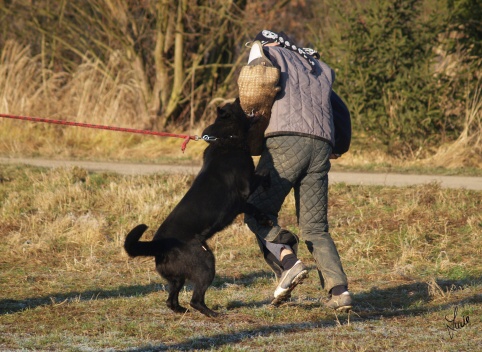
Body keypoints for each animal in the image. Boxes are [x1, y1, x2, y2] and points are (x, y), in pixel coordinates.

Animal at [122, 98, 270, 316]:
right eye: (237, 106)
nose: (238, 98)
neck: (225, 138)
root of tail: (160, 245)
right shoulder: (246, 187)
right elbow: (260, 178)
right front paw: (269, 180)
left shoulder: (240, 204)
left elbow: (252, 208)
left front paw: (263, 217)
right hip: (206, 263)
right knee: (196, 299)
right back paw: (213, 313)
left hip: (178, 277)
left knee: (171, 299)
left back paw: (181, 310)